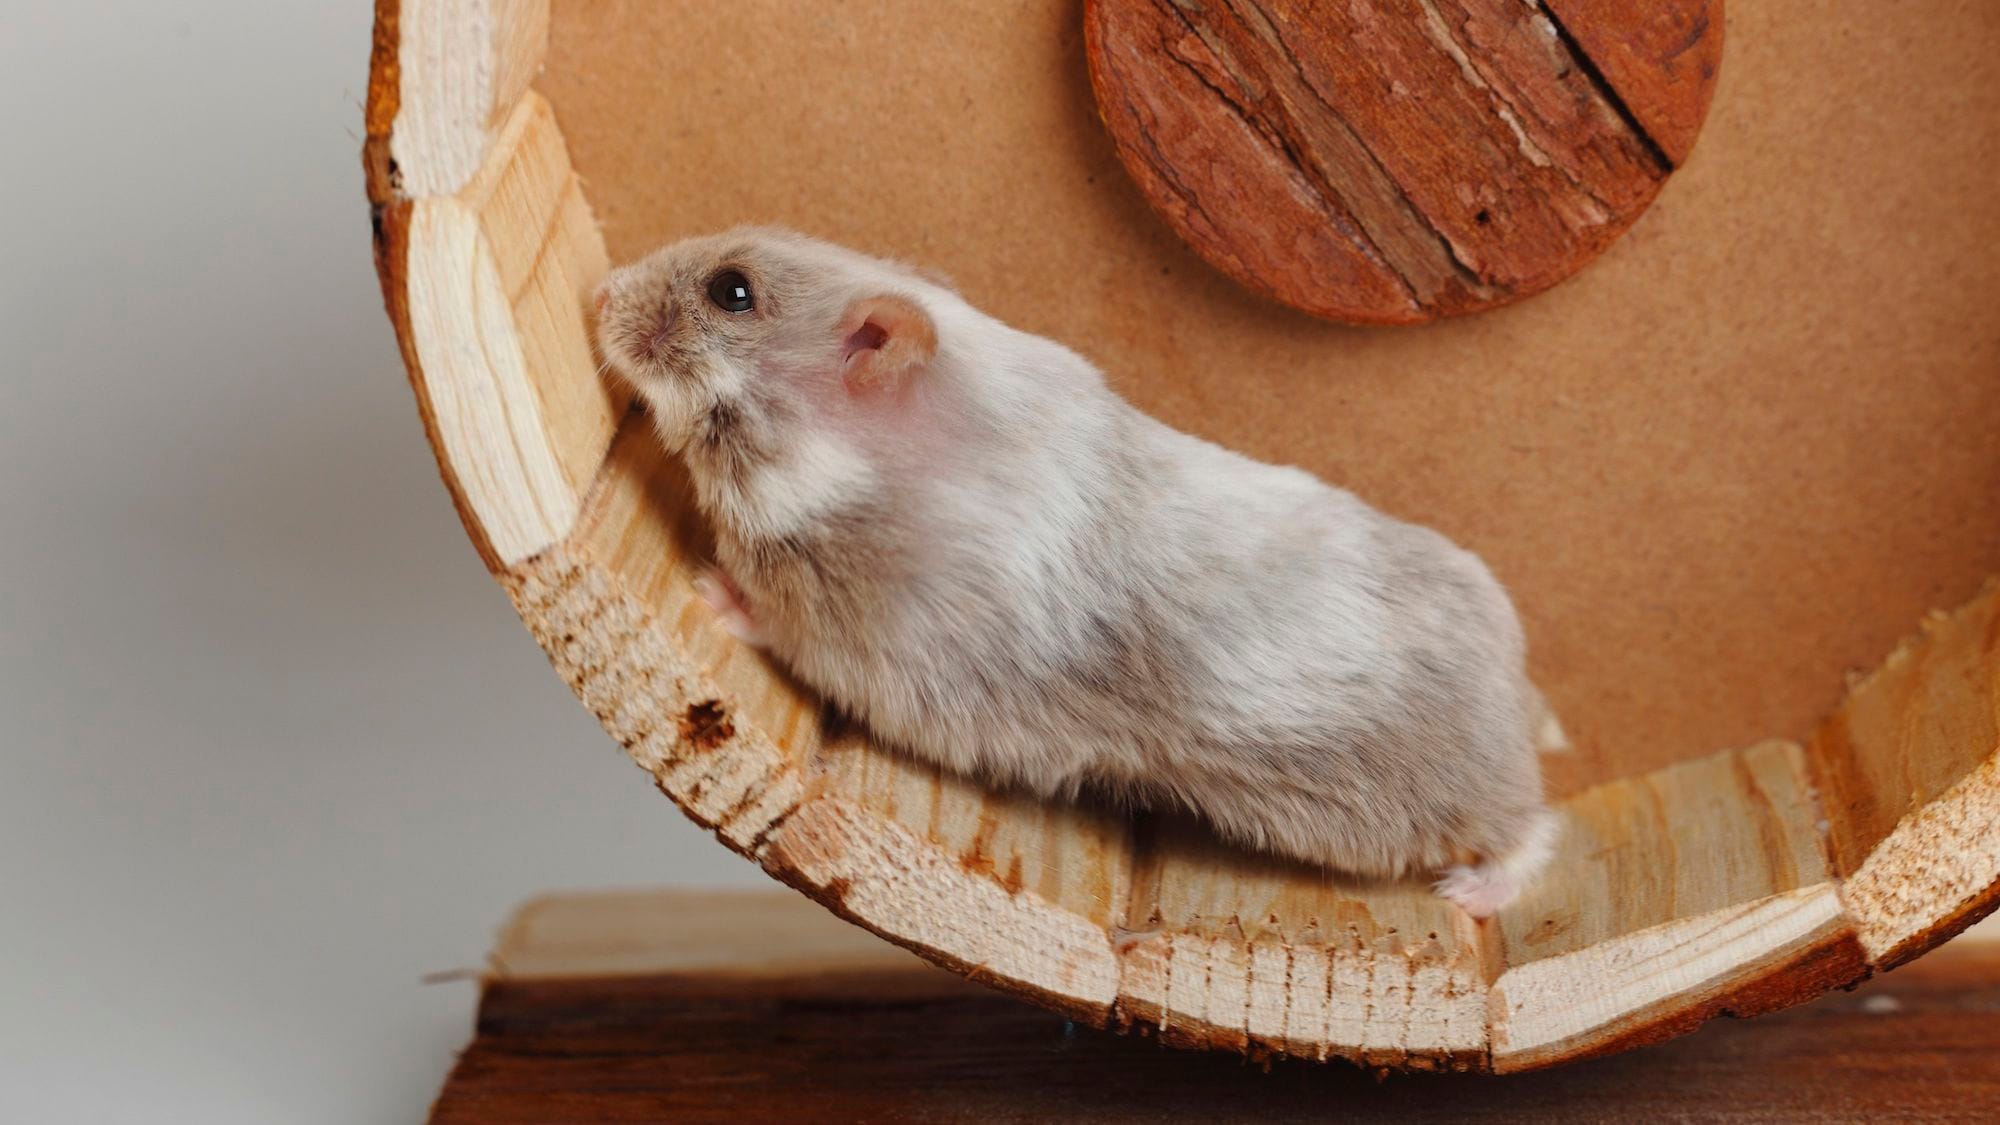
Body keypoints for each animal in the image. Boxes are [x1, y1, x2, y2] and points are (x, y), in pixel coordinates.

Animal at [594, 227, 1561, 916]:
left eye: (732, 291)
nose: (596, 291)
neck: (861, 470)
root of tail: (1520, 687)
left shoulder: (871, 647)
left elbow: (772, 620)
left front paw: (707, 587)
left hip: (1455, 790)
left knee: (1531, 827)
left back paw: (1469, 894)